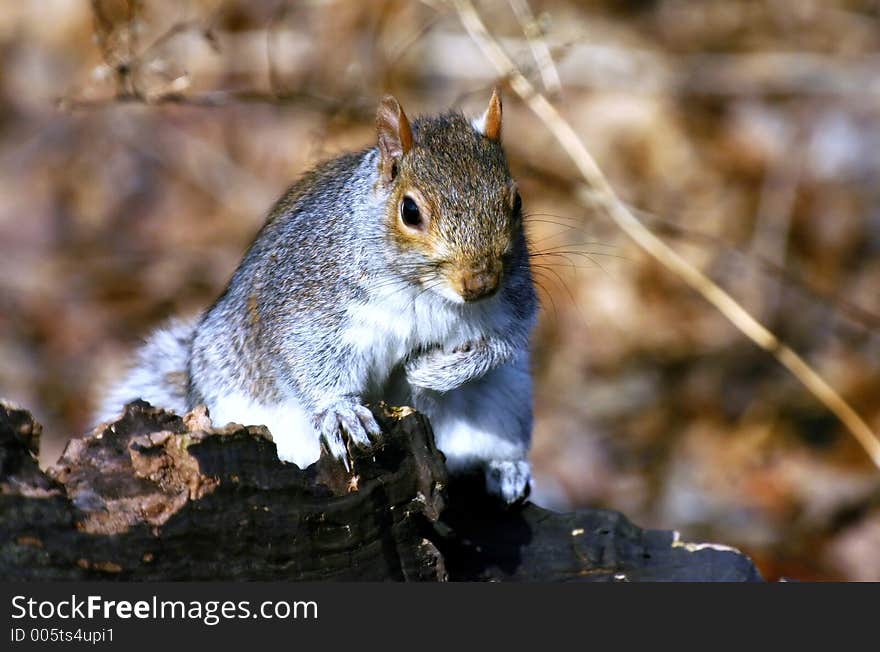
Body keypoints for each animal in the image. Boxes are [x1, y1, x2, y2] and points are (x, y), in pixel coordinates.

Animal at [96, 89, 536, 502]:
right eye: (410, 211)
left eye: (516, 202)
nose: (480, 283)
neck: (421, 289)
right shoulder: (307, 303)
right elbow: (305, 357)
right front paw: (340, 411)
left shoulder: (514, 301)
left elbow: (501, 345)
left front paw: (435, 370)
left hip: (505, 400)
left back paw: (505, 467)